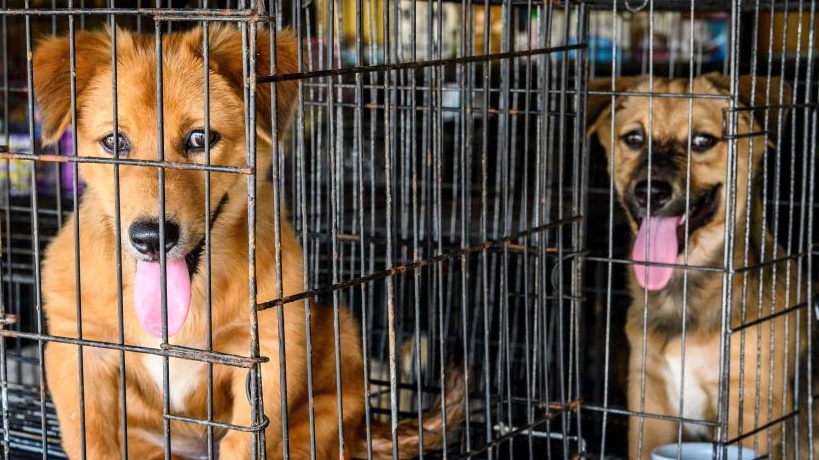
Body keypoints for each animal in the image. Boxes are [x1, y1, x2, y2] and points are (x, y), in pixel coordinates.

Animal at [35, 26, 464, 460]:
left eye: (200, 138)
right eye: (114, 141)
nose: (151, 238)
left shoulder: (267, 355)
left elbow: (243, 443)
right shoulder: (76, 350)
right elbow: (91, 441)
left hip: (335, 360)